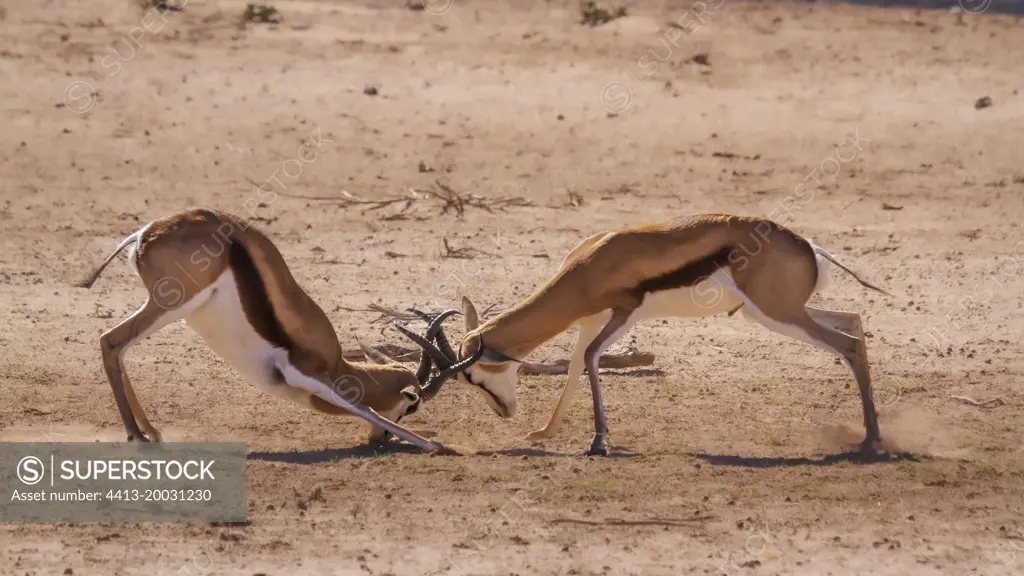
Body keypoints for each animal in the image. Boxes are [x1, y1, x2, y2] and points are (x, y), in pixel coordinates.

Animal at [76, 206, 479, 448]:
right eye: (411, 406)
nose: (377, 441)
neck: (338, 366)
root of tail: (145, 233)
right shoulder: (307, 373)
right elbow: (365, 409)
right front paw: (433, 443)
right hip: (172, 305)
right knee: (111, 341)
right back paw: (136, 436)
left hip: (169, 308)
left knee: (118, 348)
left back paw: (151, 431)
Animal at [395, 211, 892, 453]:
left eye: (472, 376)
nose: (504, 413)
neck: (590, 266)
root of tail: (807, 245)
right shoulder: (590, 320)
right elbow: (573, 367)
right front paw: (545, 433)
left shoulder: (623, 313)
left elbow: (591, 359)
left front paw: (598, 442)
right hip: (771, 313)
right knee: (855, 323)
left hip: (775, 313)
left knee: (848, 343)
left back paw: (871, 440)